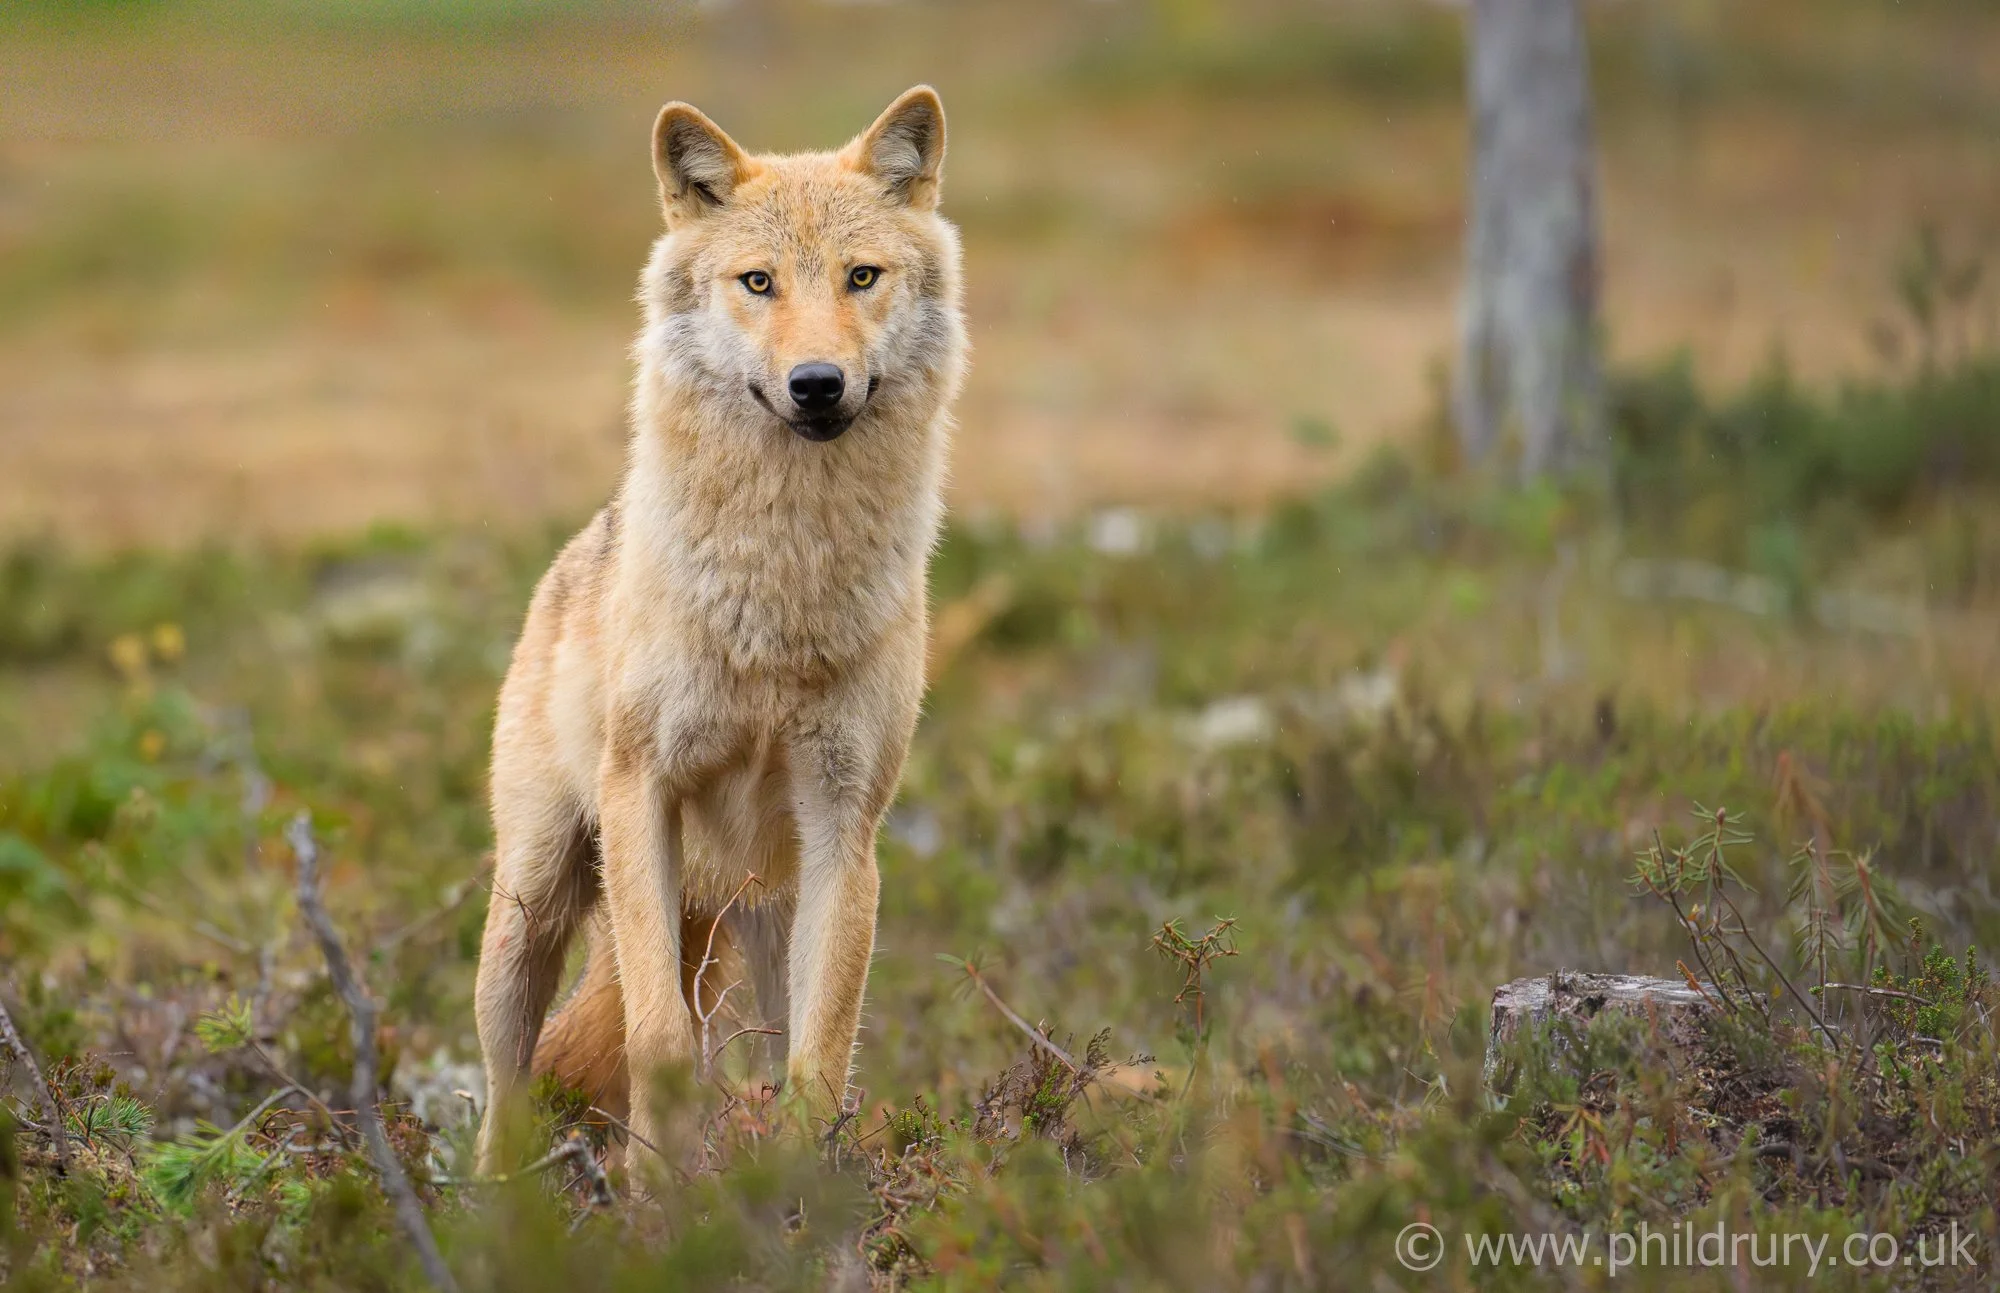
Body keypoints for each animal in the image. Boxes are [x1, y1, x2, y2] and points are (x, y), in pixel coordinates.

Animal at [471, 86, 966, 1172]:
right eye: (758, 282)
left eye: (861, 276)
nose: (818, 383)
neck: (778, 599)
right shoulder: (640, 795)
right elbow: (656, 1039)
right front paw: (657, 1191)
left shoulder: (845, 828)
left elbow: (821, 1060)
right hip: (534, 906)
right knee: (503, 1079)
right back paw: (489, 1198)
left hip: (765, 907)